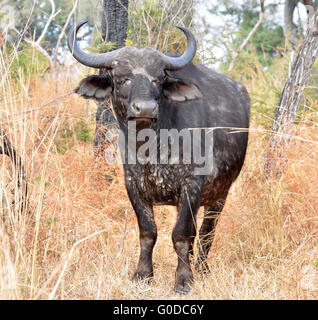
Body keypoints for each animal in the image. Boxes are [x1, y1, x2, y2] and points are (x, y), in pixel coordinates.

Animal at [68, 21, 250, 294]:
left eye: (158, 78)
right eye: (121, 78)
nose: (145, 108)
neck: (152, 148)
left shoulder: (191, 185)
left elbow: (181, 235)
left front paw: (184, 280)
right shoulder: (133, 186)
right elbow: (148, 232)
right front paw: (142, 275)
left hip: (221, 192)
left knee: (207, 231)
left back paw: (202, 269)